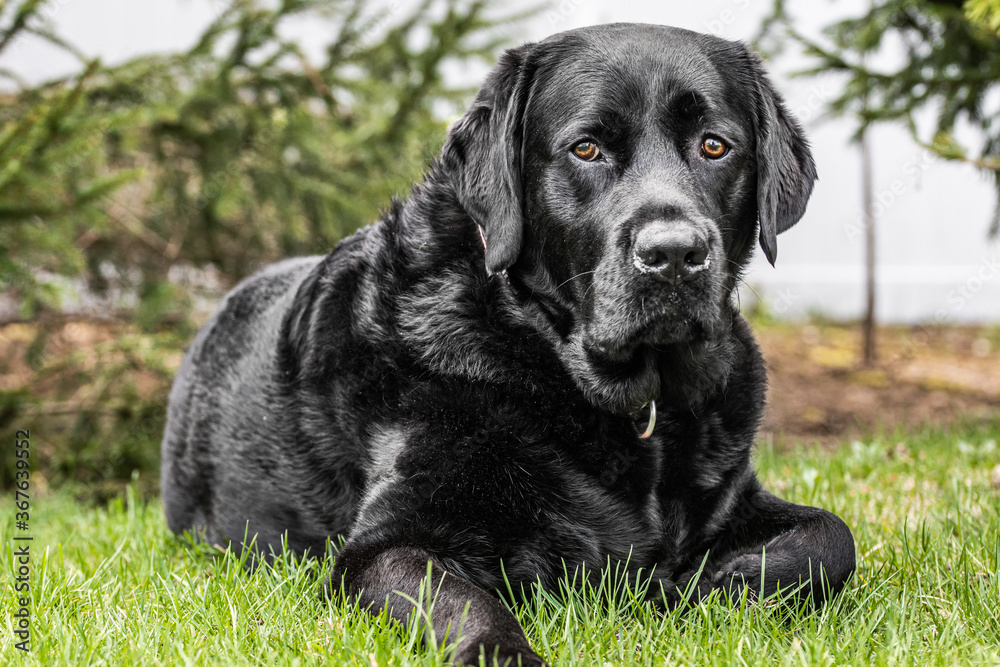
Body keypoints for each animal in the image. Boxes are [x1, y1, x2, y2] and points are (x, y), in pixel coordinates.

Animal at [160, 23, 856, 667]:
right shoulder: (386, 544)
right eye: (586, 148)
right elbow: (466, 603)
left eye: (715, 145)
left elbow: (832, 537)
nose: (674, 254)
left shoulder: (737, 495)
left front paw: (710, 585)